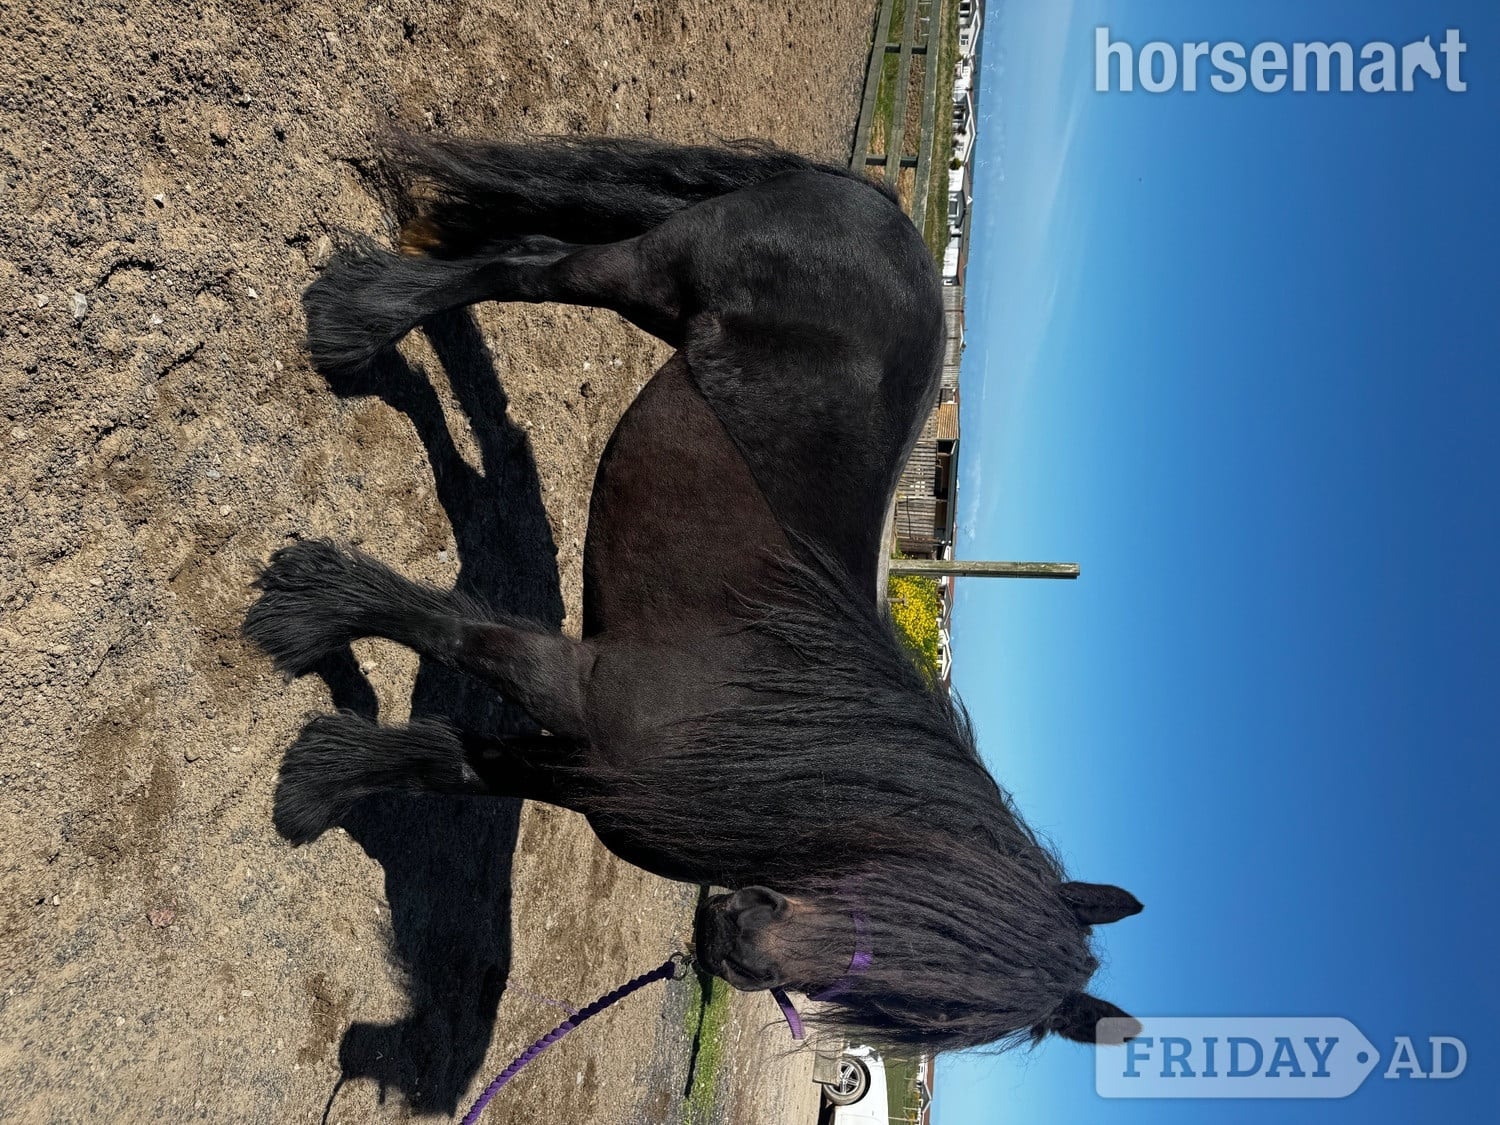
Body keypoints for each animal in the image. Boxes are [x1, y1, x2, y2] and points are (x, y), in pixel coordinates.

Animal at [243, 133, 1143, 1053]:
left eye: (912, 1013)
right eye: (917, 901)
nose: (732, 945)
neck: (768, 739)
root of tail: (884, 209)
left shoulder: (585, 769)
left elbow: (454, 763)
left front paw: (321, 781)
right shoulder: (575, 687)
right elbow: (458, 633)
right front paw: (308, 609)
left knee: (495, 394)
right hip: (654, 273)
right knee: (535, 269)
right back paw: (355, 323)